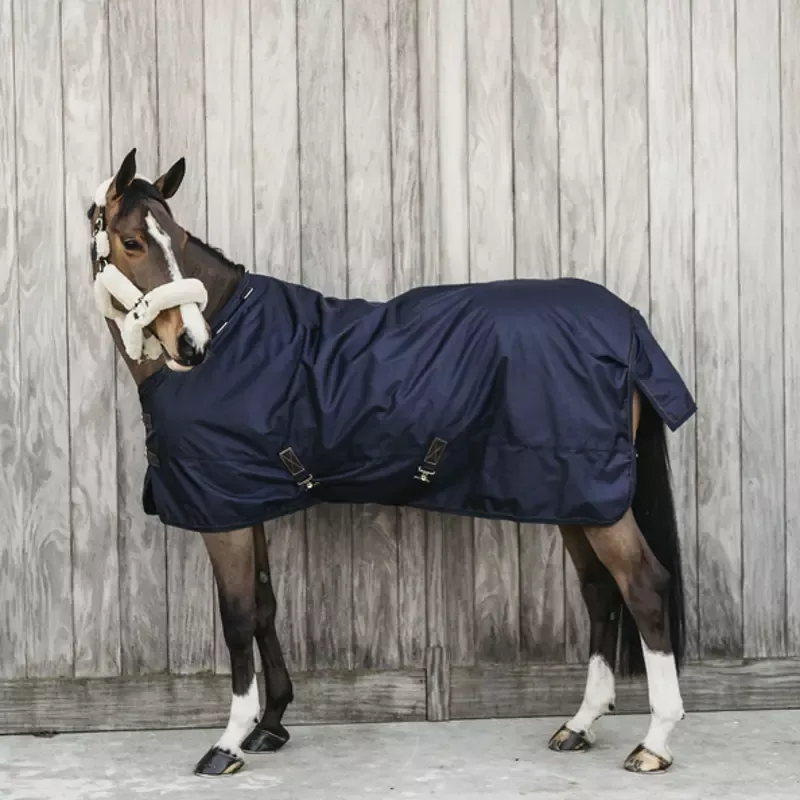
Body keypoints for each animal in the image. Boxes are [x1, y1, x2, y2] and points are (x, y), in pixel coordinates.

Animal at [86, 148, 694, 778]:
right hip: (573, 496)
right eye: (133, 242)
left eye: (177, 240)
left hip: (598, 501)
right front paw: (271, 724)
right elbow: (264, 607)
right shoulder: (244, 503)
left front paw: (229, 740)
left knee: (644, 586)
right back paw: (580, 723)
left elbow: (236, 617)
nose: (192, 344)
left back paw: (654, 741)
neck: (234, 338)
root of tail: (627, 323)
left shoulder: (222, 515)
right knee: (600, 591)